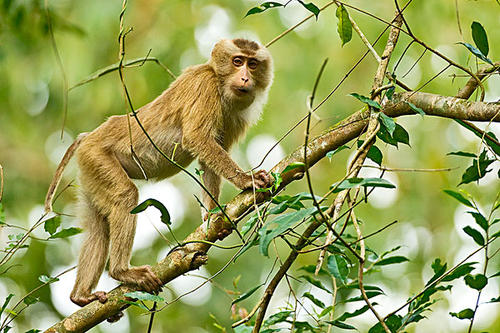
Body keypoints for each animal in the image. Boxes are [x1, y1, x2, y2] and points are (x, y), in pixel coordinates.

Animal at [45, 38, 274, 306]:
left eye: (253, 64)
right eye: (238, 61)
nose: (246, 78)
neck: (218, 81)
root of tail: (88, 137)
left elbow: (209, 160)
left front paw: (212, 215)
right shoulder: (203, 85)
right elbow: (197, 139)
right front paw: (247, 180)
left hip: (89, 171)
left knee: (97, 227)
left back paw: (81, 296)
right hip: (96, 156)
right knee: (125, 196)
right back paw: (121, 272)